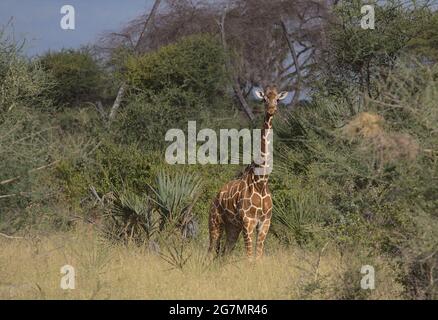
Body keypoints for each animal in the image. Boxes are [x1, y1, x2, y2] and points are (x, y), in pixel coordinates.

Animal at [208, 85, 290, 260]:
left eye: (277, 99)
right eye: (264, 99)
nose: (272, 109)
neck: (261, 181)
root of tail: (216, 196)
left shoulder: (264, 223)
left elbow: (257, 258)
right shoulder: (248, 222)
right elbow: (249, 258)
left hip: (232, 227)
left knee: (224, 254)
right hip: (215, 222)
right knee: (210, 251)